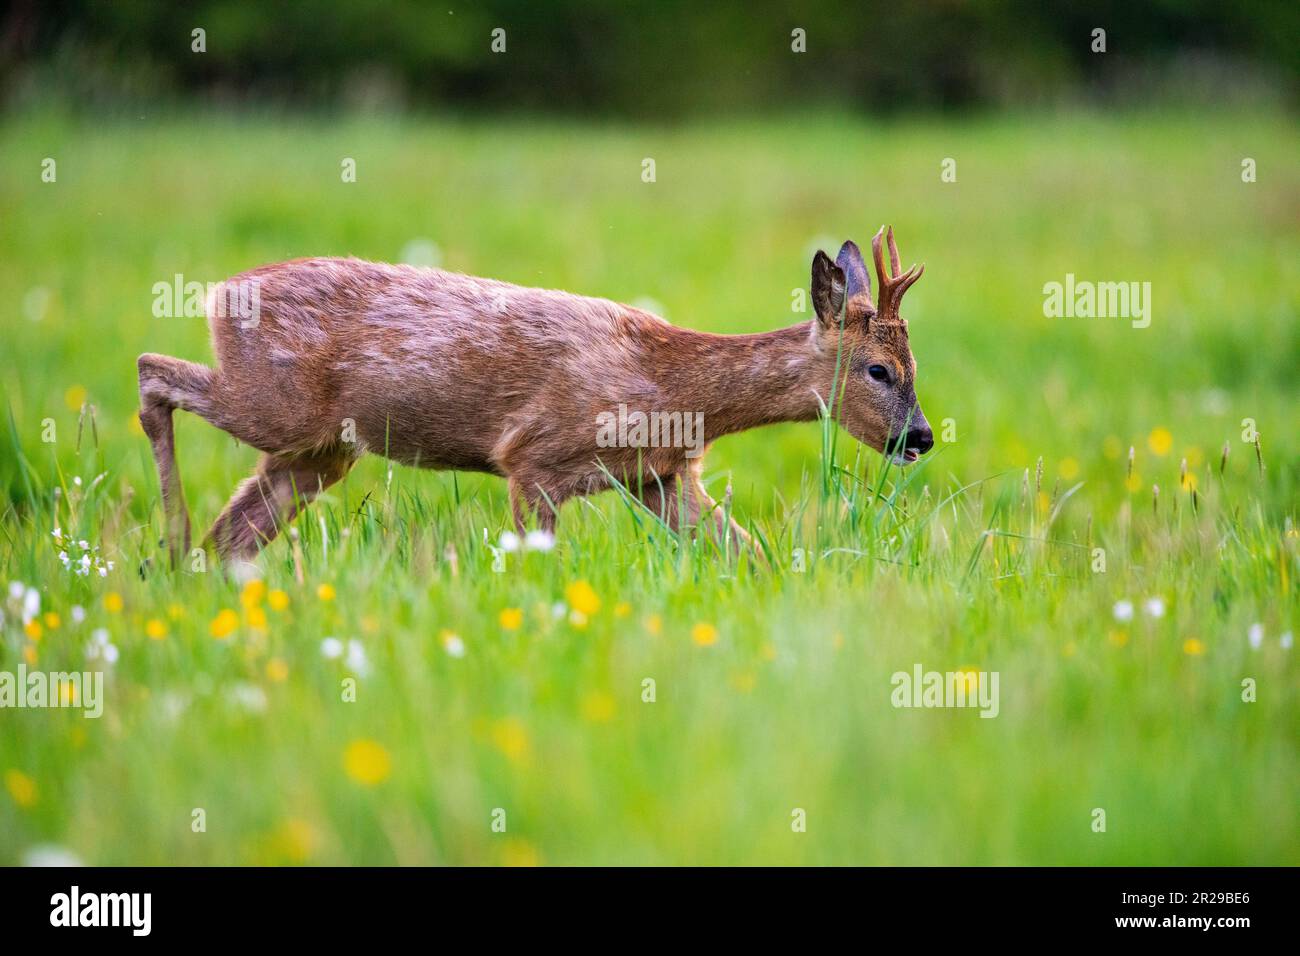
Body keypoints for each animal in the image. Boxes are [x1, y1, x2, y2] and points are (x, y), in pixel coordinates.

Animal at [139, 227, 935, 564]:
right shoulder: (534, 459)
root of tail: (219, 292)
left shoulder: (662, 478)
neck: (674, 385)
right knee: (152, 370)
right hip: (278, 403)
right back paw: (169, 538)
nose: (922, 438)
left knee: (236, 534)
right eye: (878, 370)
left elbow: (748, 552)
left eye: (914, 362)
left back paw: (175, 567)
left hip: (318, 452)